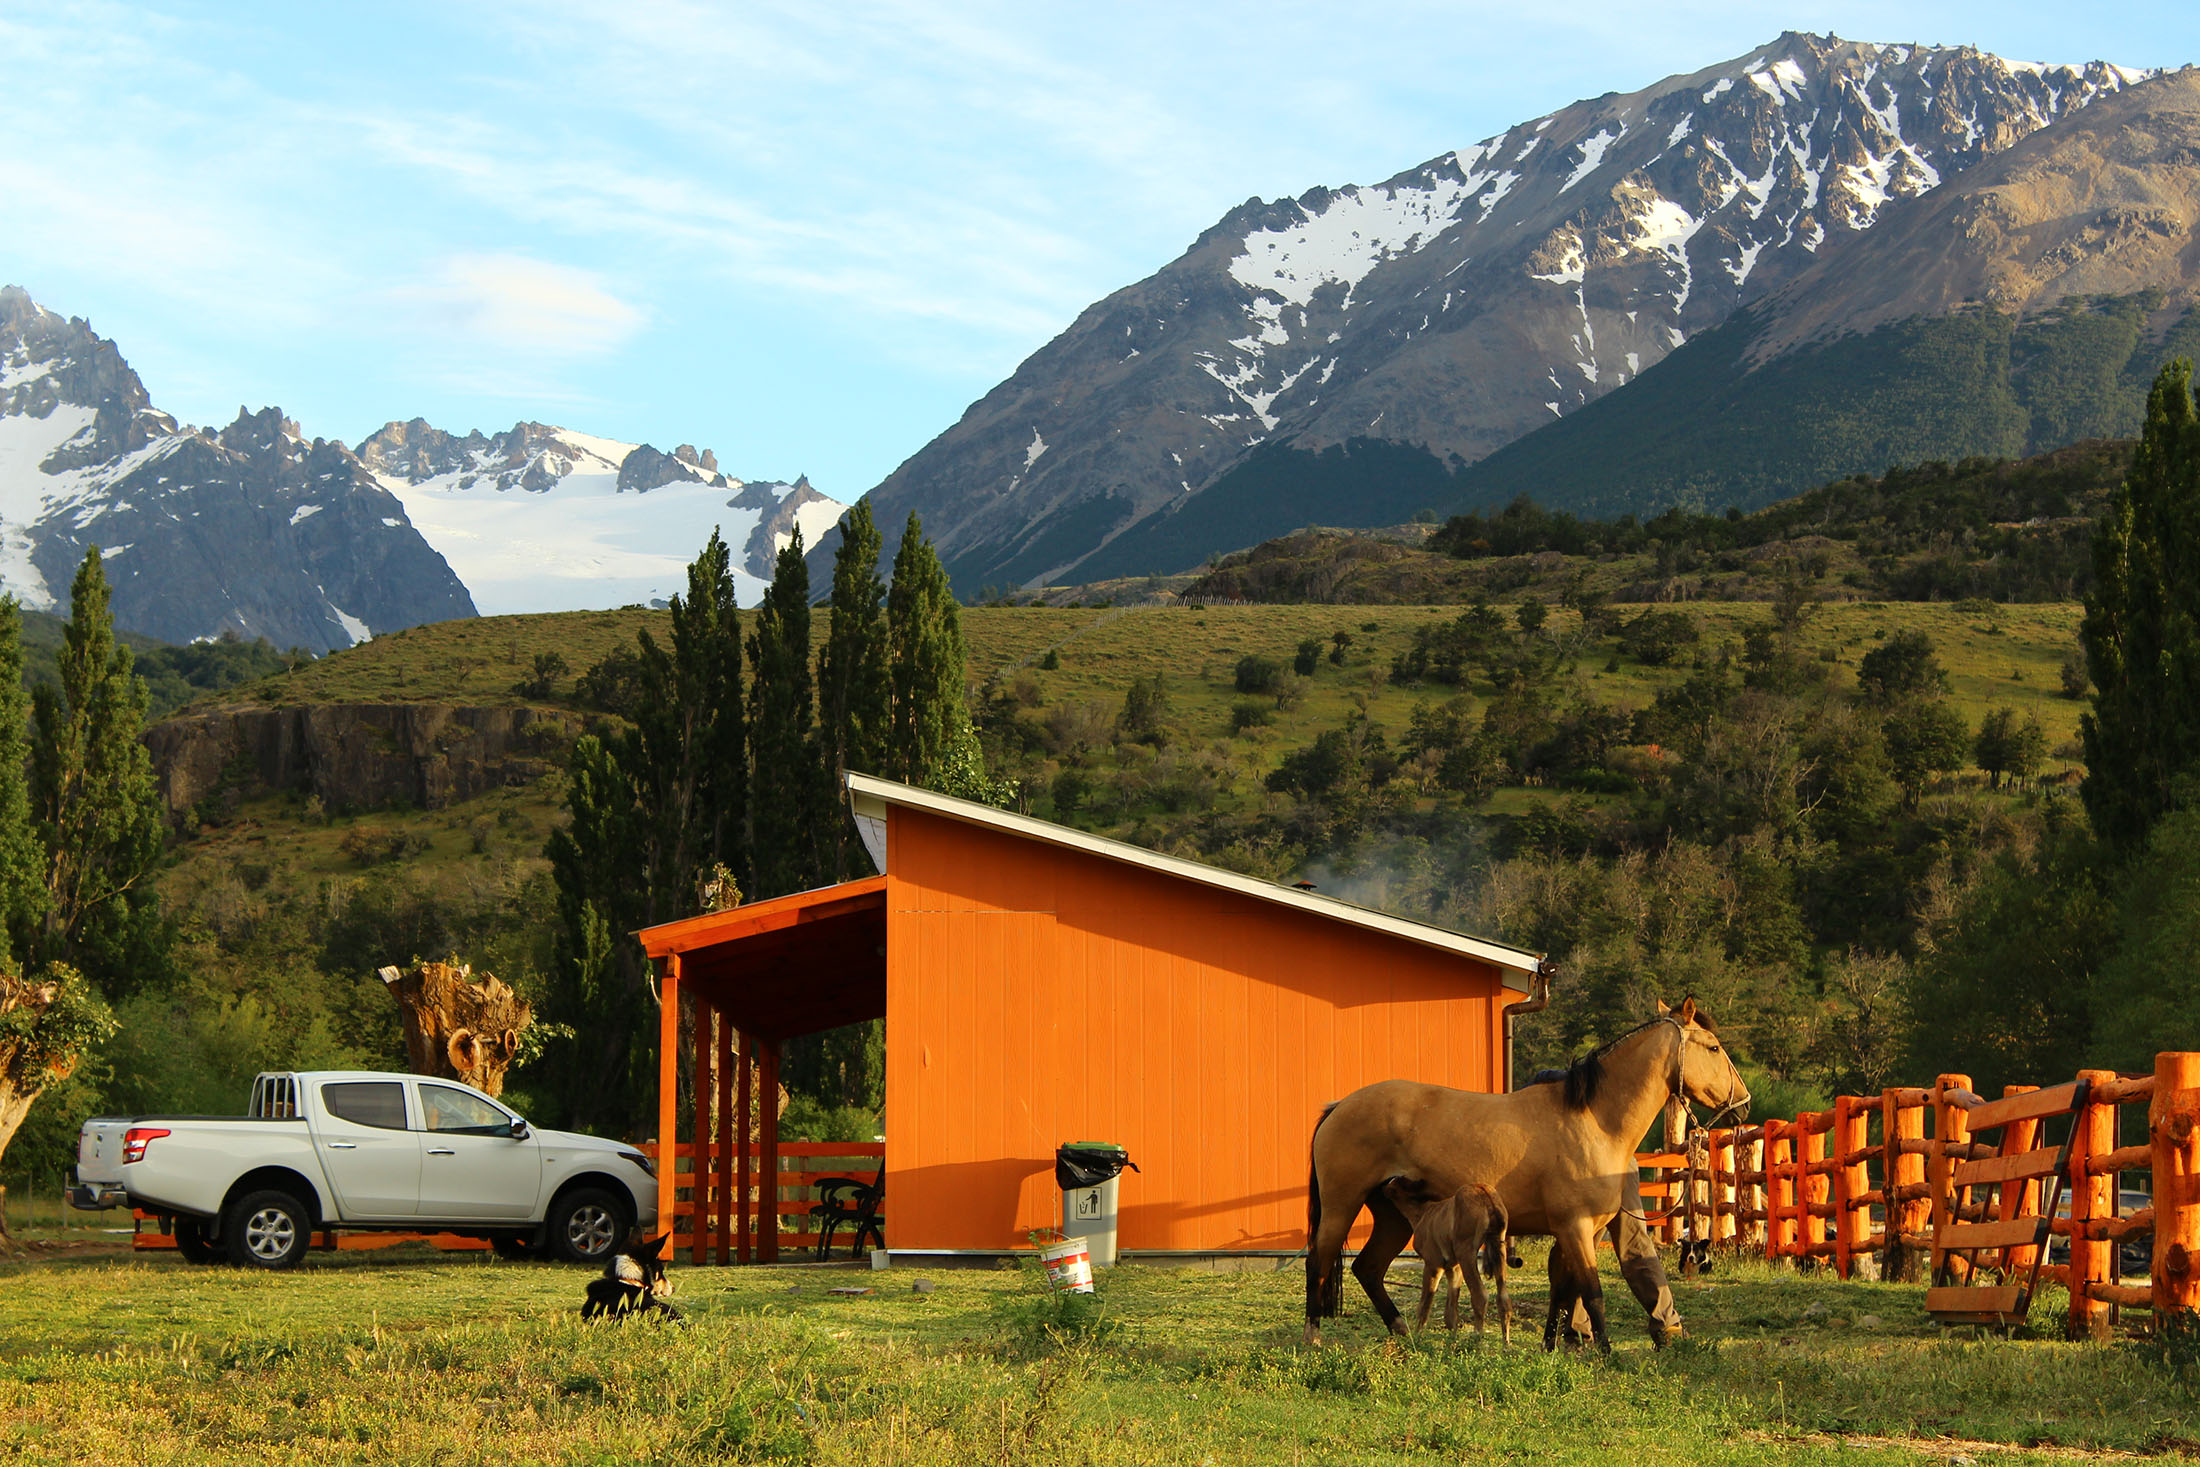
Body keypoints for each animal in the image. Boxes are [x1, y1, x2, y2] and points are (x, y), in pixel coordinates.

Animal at [1381, 1178, 1504, 1346]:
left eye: (1392, 1184)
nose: (1381, 1188)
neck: (1422, 1213)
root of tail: (1485, 1194)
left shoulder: (1433, 1263)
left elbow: (1424, 1304)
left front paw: (1417, 1337)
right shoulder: (1453, 1267)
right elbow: (1450, 1312)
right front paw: (1452, 1341)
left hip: (1466, 1253)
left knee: (1481, 1294)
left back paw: (1476, 1340)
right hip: (1498, 1245)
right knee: (1503, 1297)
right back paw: (1505, 1344)